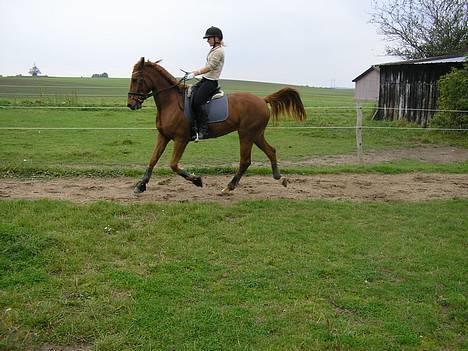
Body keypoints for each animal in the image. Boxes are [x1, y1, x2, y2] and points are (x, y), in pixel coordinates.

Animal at [126, 58, 306, 195]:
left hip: (246, 134)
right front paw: (141, 185)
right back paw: (280, 178)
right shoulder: (163, 136)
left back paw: (228, 187)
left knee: (245, 161)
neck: (171, 102)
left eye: (136, 79)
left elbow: (173, 165)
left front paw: (197, 180)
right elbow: (153, 160)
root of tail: (262, 100)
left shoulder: (180, 139)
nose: (131, 104)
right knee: (270, 151)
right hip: (256, 134)